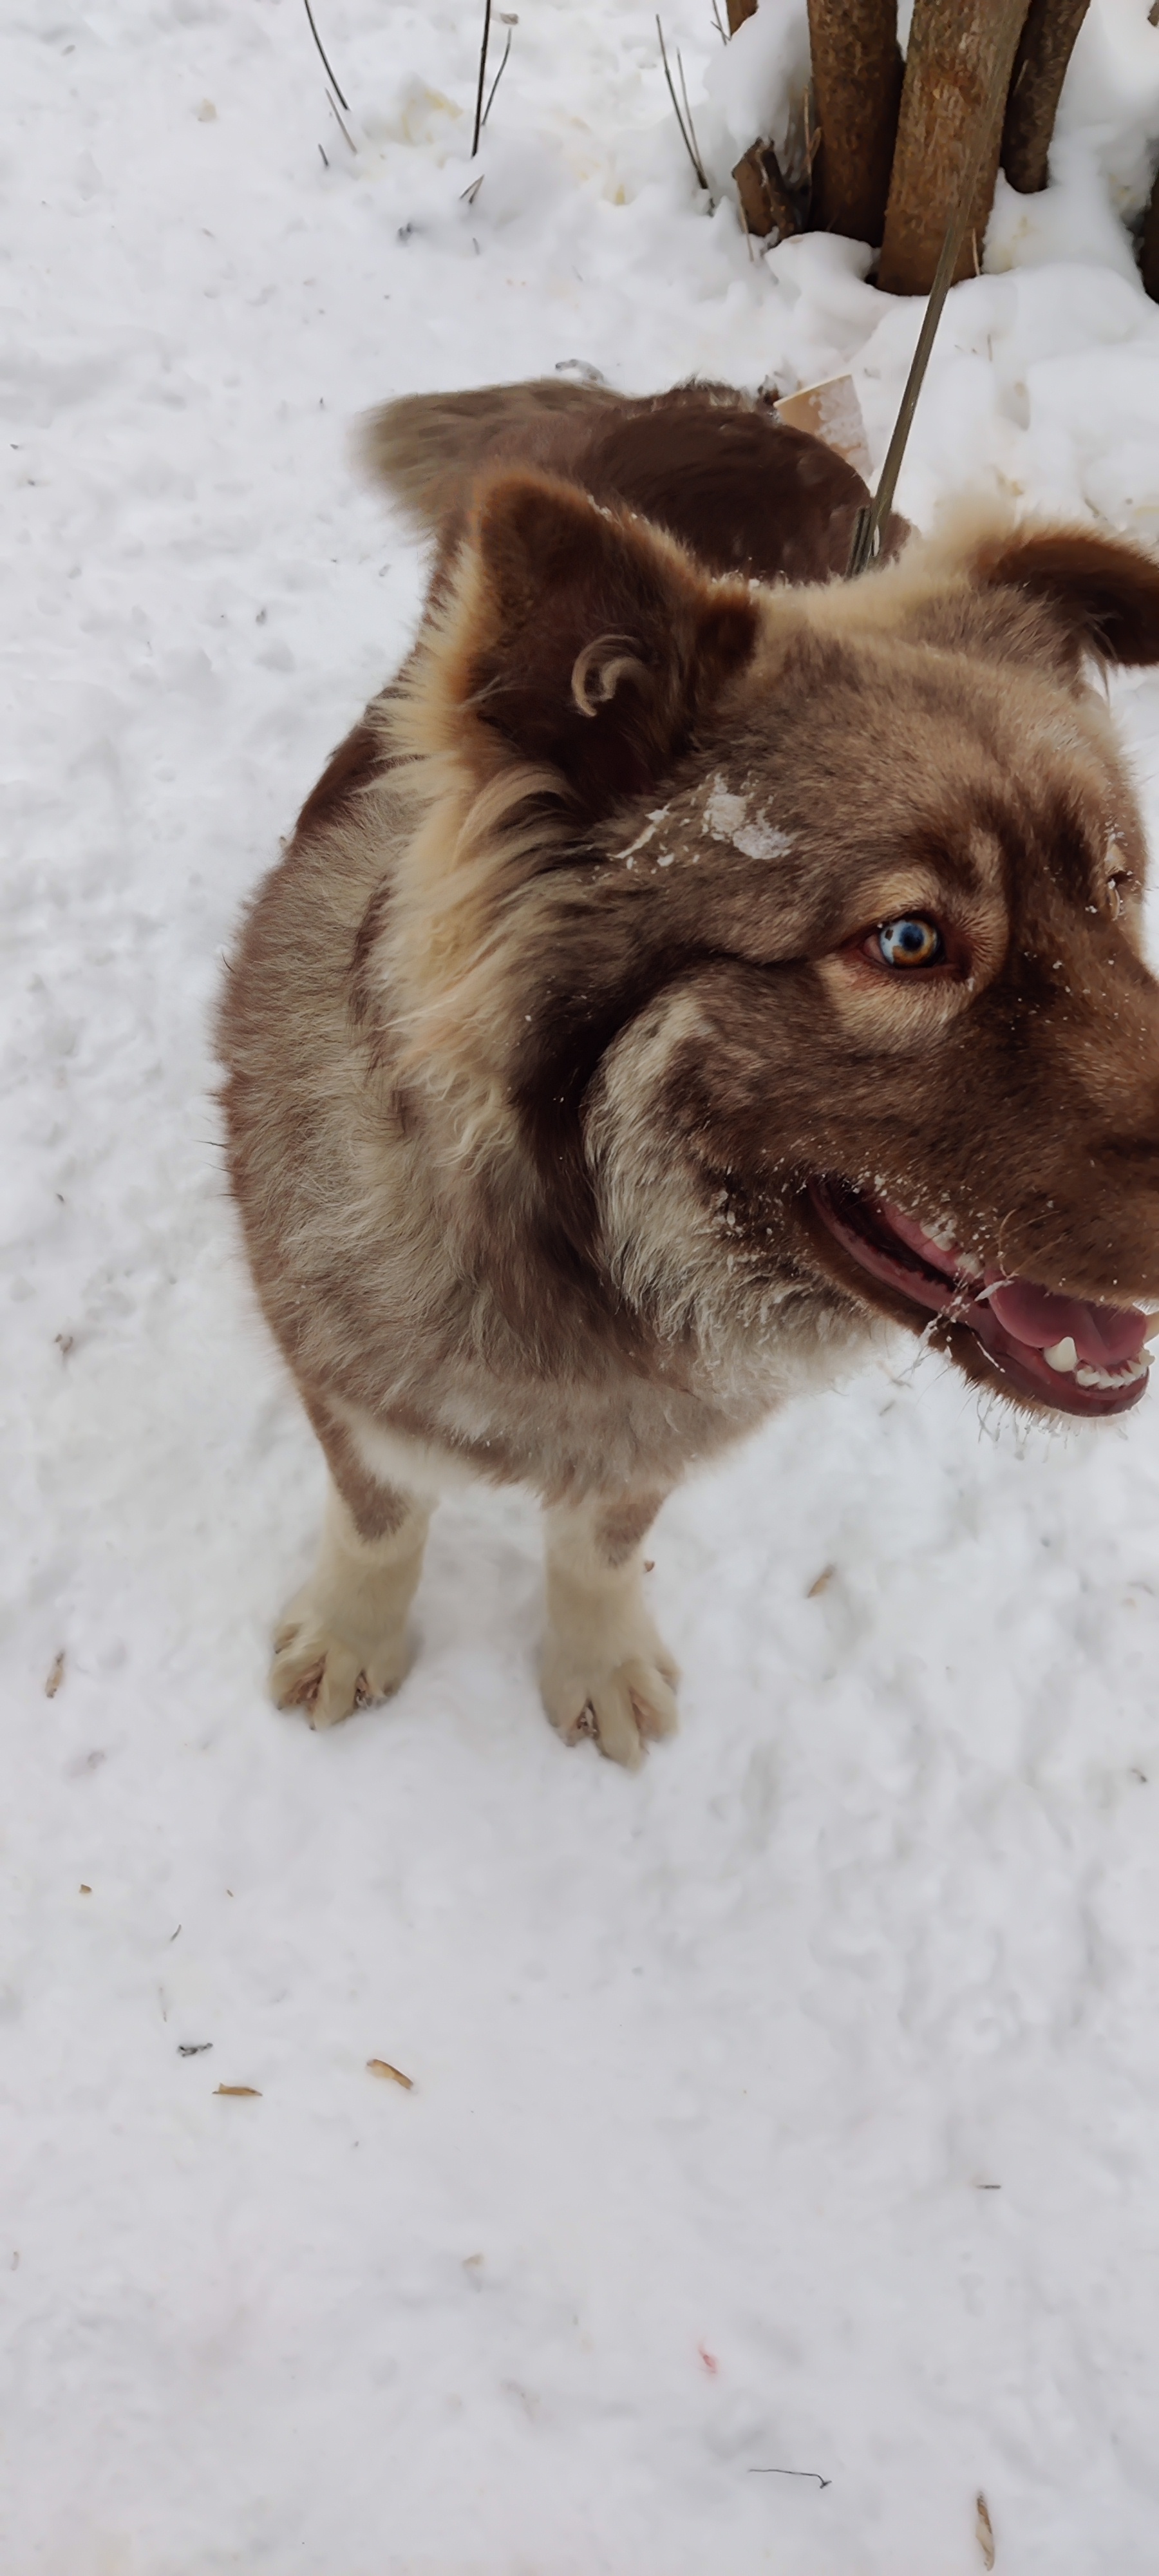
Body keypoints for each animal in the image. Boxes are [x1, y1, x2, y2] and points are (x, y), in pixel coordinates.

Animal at [220, 374, 1159, 1762]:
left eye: (1112, 888)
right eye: (909, 942)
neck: (586, 1262)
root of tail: (700, 396)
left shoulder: (658, 1433)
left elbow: (602, 1544)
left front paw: (594, 1657)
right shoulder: (346, 1380)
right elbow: (382, 1518)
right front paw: (357, 1632)